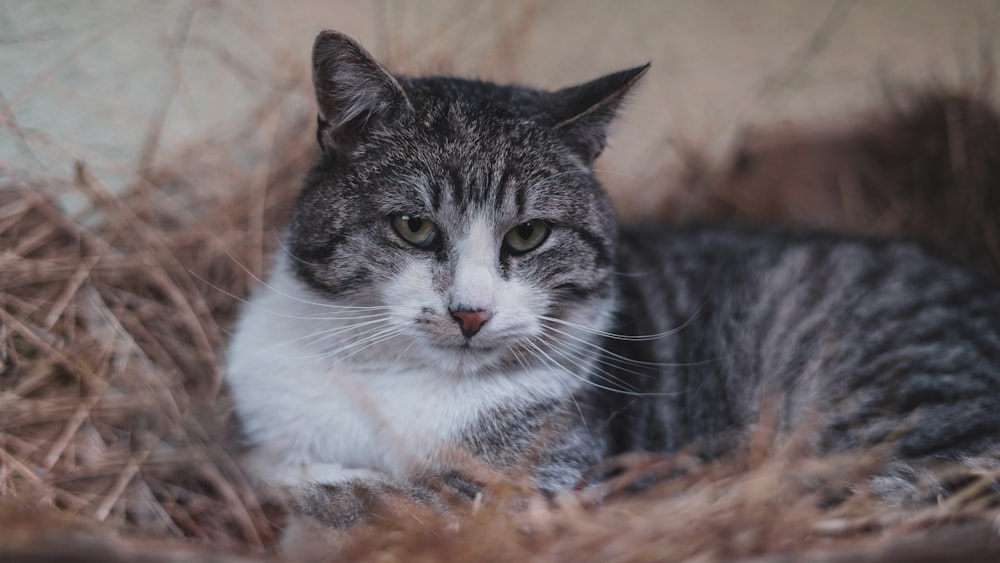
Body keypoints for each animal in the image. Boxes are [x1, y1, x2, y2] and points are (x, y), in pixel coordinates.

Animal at [225, 29, 1000, 532]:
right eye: (414, 226)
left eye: (528, 235)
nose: (471, 313)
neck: (393, 380)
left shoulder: (542, 481)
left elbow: (402, 497)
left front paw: (305, 486)